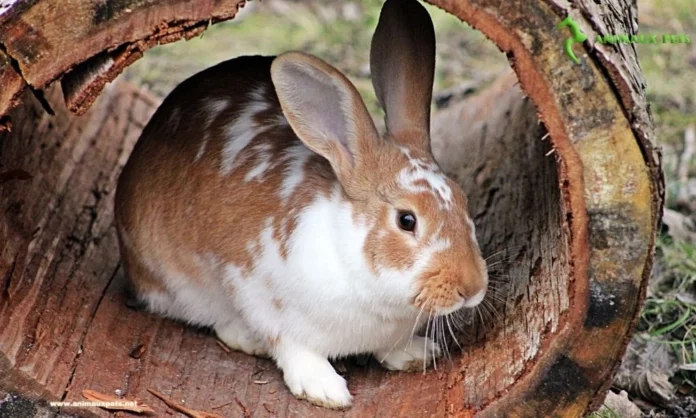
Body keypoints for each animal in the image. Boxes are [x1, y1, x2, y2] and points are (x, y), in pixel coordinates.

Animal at [114, 0, 486, 408]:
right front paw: (325, 390)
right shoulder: (263, 299)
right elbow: (293, 348)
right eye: (406, 220)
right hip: (177, 281)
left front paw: (415, 353)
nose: (472, 288)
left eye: (463, 200)